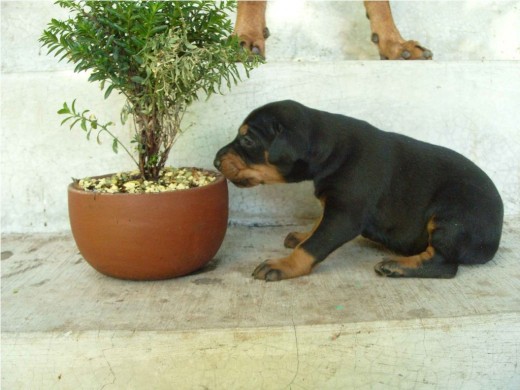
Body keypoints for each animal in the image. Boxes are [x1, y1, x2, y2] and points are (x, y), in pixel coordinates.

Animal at [212, 101, 504, 280]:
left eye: (247, 140)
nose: (215, 161)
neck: (329, 148)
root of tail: (493, 241)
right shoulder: (334, 205)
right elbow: (318, 225)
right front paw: (303, 235)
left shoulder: (345, 215)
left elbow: (316, 244)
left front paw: (283, 265)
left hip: (452, 216)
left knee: (444, 265)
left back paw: (396, 266)